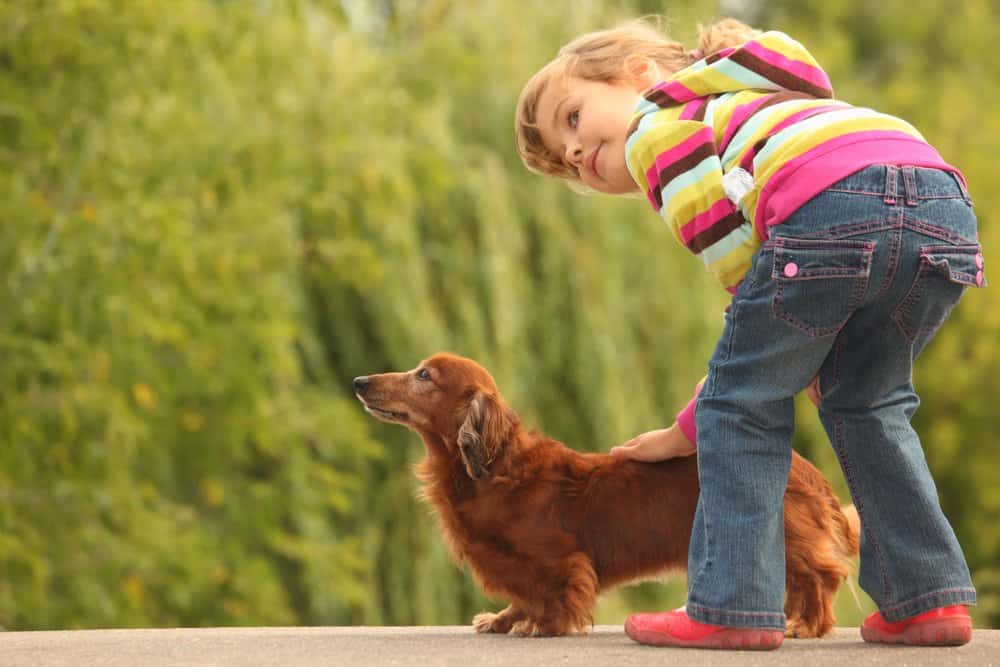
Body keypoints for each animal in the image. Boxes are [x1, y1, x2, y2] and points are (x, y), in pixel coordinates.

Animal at [354, 352, 860, 640]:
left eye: (424, 375)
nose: (360, 382)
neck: (496, 469)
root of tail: (805, 467)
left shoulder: (559, 558)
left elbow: (554, 592)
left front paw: (542, 625)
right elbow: (522, 592)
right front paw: (503, 618)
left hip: (786, 532)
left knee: (819, 577)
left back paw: (805, 625)